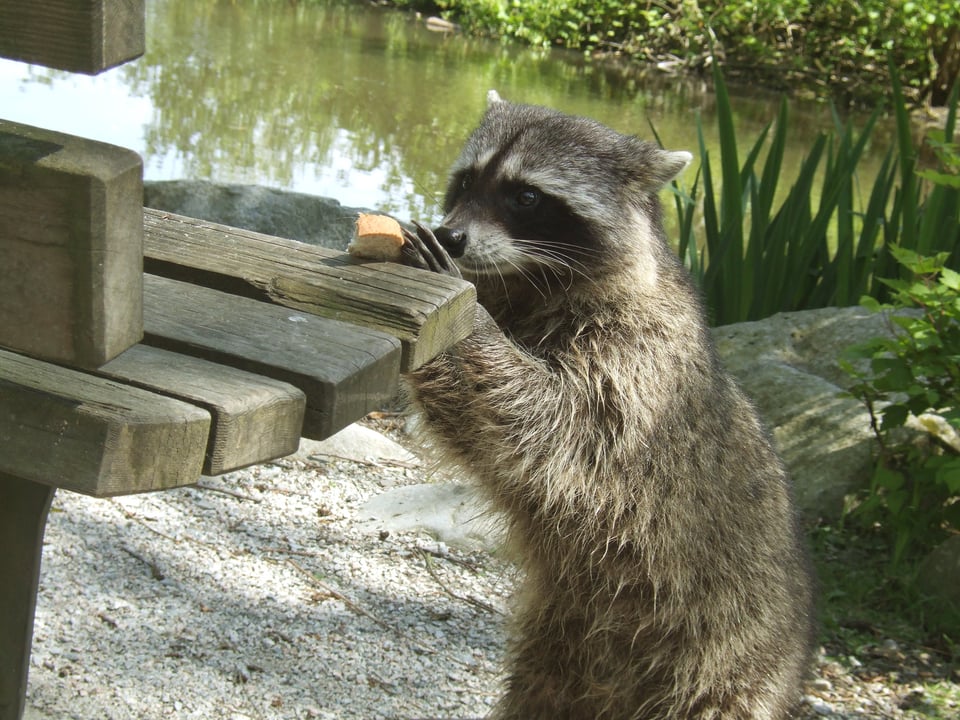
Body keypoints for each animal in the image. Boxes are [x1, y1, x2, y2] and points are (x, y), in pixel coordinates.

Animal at [400, 92, 816, 720]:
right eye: (467, 180)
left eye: (526, 197)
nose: (451, 238)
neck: (532, 282)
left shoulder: (642, 363)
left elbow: (552, 424)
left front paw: (471, 327)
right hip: (557, 654)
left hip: (723, 665)